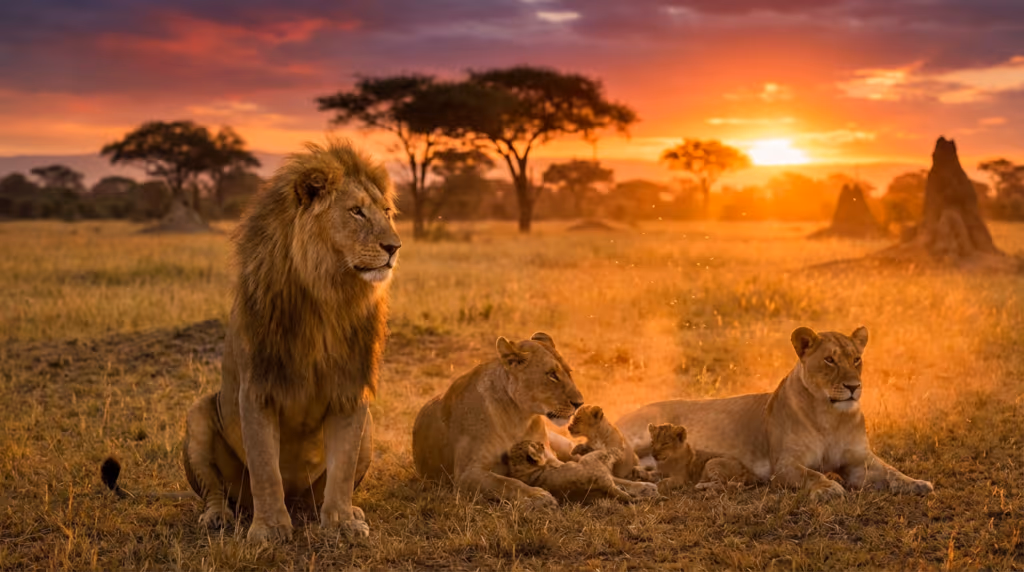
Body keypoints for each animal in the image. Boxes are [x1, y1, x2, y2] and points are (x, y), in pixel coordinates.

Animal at [103, 140, 401, 544]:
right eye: (356, 212)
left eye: (386, 212)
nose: (395, 246)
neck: (326, 296)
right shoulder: (257, 388)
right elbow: (265, 469)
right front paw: (270, 529)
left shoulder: (351, 388)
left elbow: (341, 470)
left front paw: (341, 522)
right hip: (198, 416)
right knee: (216, 492)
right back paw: (218, 517)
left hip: (366, 431)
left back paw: (342, 510)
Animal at [617, 327, 934, 501]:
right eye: (829, 360)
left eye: (857, 359)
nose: (854, 386)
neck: (831, 416)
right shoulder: (785, 466)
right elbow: (810, 474)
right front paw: (828, 488)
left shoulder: (859, 462)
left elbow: (892, 471)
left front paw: (918, 483)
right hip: (636, 437)